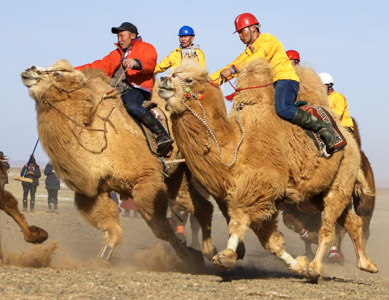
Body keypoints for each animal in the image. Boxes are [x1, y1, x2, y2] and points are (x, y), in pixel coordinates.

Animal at [20, 59, 221, 268]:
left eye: (58, 73)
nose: (29, 70)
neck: (99, 138)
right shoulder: (94, 193)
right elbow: (112, 230)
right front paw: (101, 259)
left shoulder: (146, 180)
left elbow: (161, 229)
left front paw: (188, 257)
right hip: (176, 176)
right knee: (201, 206)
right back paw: (213, 252)